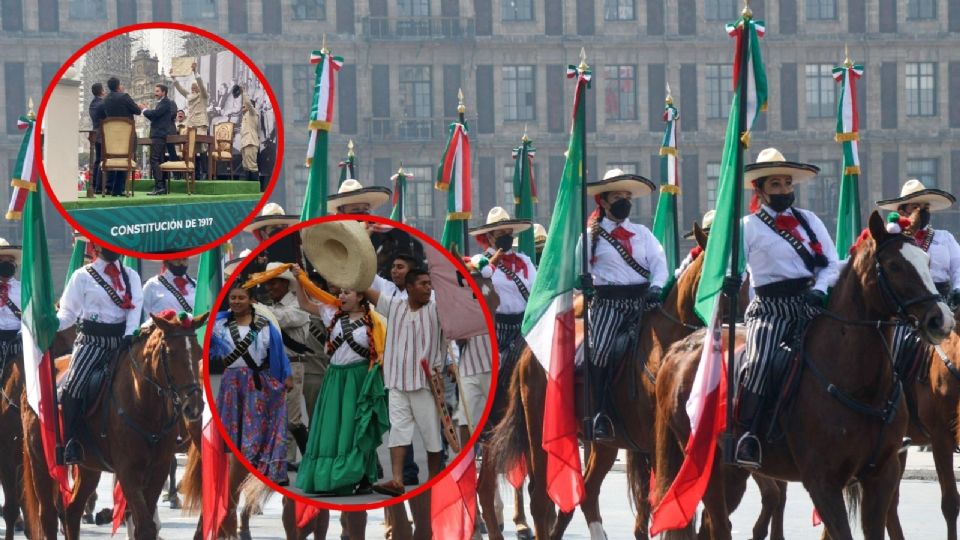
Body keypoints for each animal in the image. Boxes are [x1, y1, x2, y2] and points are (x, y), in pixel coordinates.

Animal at [21, 312, 207, 540]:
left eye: (198, 351)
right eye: (171, 353)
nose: (194, 406)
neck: (142, 400)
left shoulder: (158, 467)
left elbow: (145, 521)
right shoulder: (127, 469)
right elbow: (145, 525)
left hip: (88, 467)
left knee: (72, 511)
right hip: (41, 461)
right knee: (48, 514)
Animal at [652, 211, 952, 540]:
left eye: (926, 260)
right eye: (895, 265)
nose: (941, 319)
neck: (861, 386)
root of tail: (681, 347)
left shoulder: (882, 474)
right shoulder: (822, 481)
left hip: (732, 471)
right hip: (704, 464)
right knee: (719, 523)